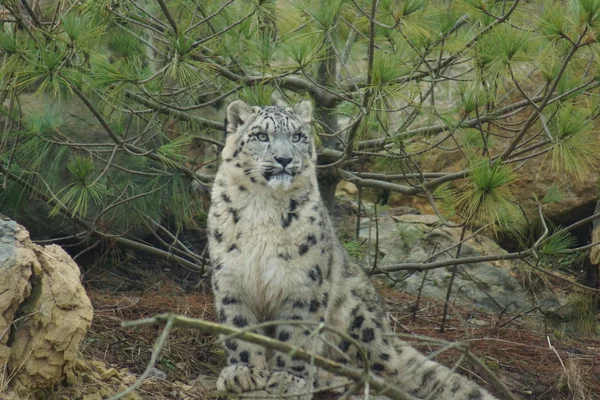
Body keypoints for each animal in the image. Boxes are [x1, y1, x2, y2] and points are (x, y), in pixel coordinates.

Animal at [206, 100, 496, 400]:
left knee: (383, 368)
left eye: (297, 136)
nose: (284, 159)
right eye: (262, 136)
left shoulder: (304, 283)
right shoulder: (231, 278)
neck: (263, 207)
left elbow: (298, 334)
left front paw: (290, 380)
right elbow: (239, 326)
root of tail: (390, 335)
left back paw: (332, 378)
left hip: (354, 314)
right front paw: (243, 373)